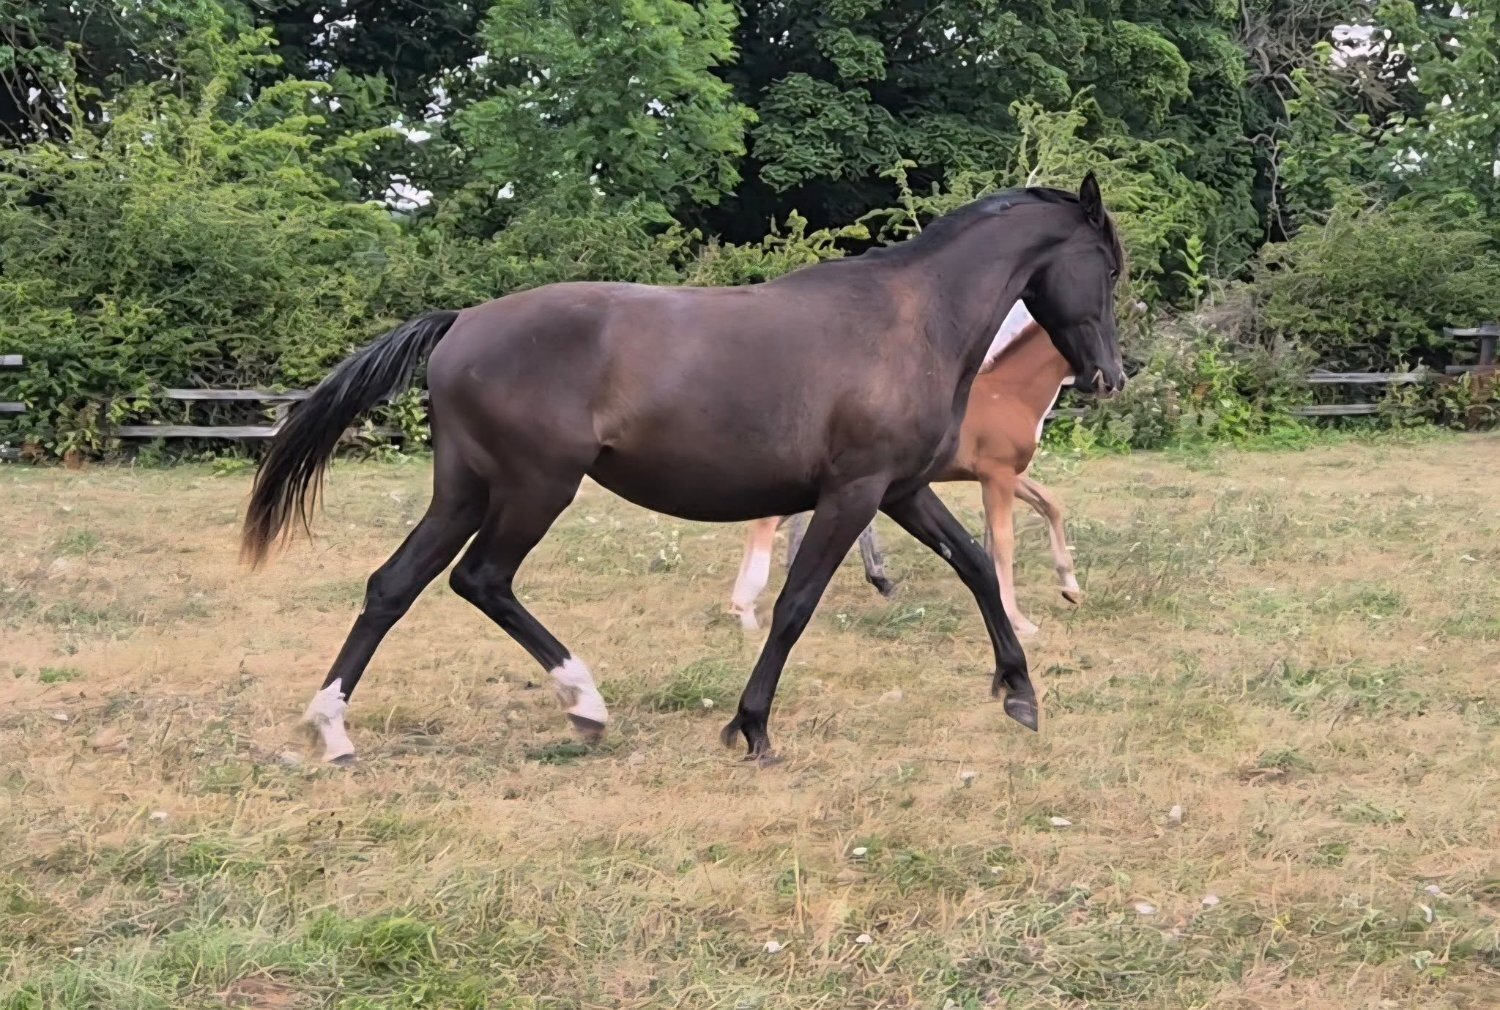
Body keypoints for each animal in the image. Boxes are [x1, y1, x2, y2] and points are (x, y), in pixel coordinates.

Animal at [728, 302, 1080, 637]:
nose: (1099, 385)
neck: (1009, 394)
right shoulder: (998, 475)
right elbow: (1005, 542)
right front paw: (1019, 621)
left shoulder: (1004, 476)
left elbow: (1050, 506)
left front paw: (1071, 589)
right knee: (768, 521)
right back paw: (747, 609)